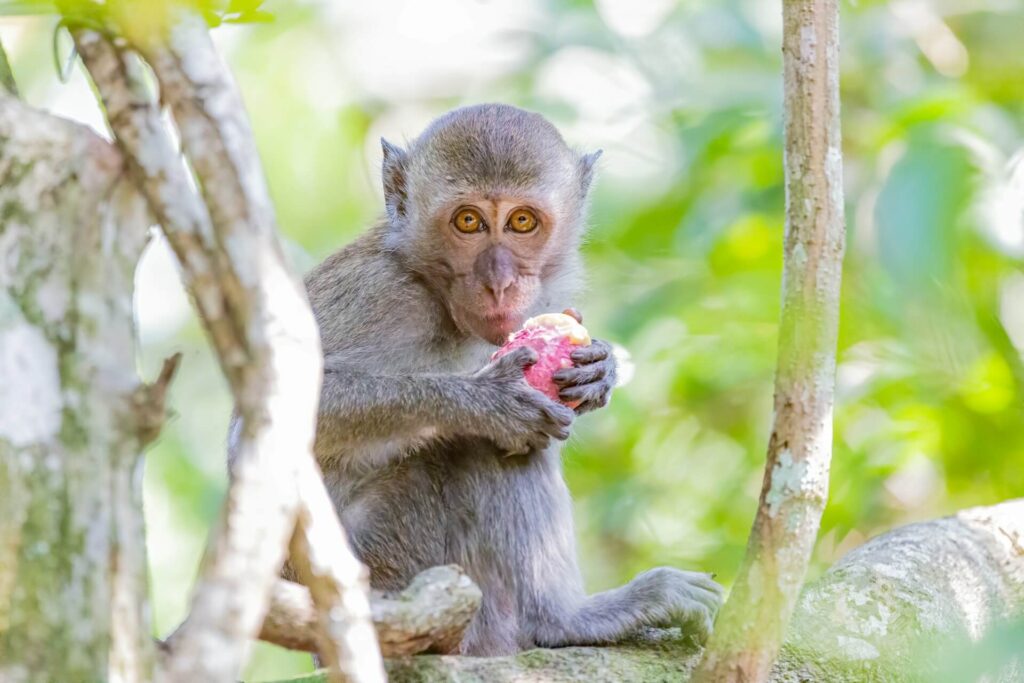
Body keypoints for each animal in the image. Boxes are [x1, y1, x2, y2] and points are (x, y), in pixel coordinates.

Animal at [231, 102, 720, 655]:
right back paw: (564, 620)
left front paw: (601, 370)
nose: (499, 282)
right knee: (484, 450)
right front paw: (488, 402)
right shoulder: (378, 295)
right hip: (396, 566)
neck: (433, 290)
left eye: (522, 221)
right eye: (468, 221)